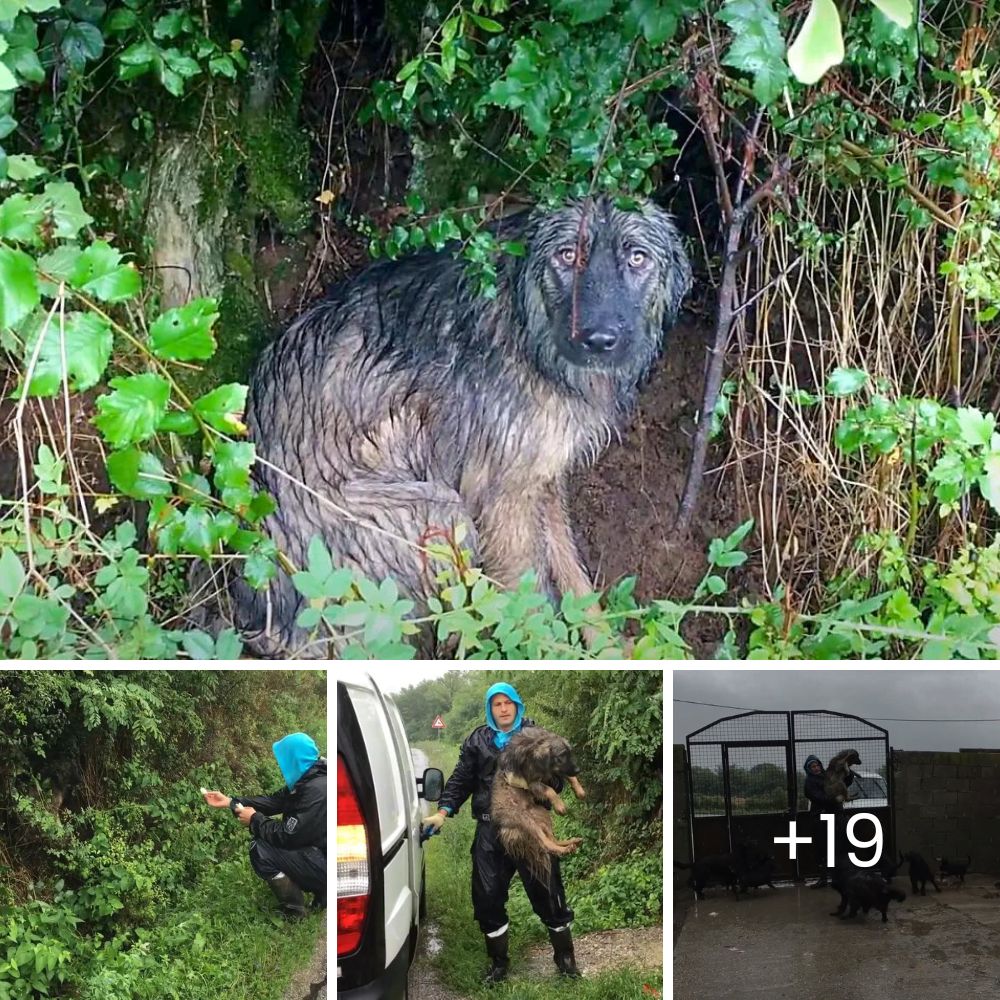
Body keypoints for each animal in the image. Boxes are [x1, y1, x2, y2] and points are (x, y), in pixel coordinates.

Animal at [215, 199, 692, 660]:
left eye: (637, 258)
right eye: (567, 255)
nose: (599, 340)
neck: (526, 323)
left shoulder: (541, 479)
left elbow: (574, 576)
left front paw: (606, 647)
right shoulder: (503, 495)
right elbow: (531, 599)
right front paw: (548, 656)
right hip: (437, 509)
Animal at [490, 728, 584, 884]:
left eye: (570, 753)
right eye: (561, 756)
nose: (578, 770)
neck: (535, 743)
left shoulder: (553, 772)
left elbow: (568, 776)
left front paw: (579, 790)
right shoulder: (531, 782)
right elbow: (549, 790)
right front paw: (560, 805)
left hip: (542, 814)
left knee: (552, 839)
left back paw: (571, 843)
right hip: (526, 821)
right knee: (546, 844)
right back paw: (565, 849)